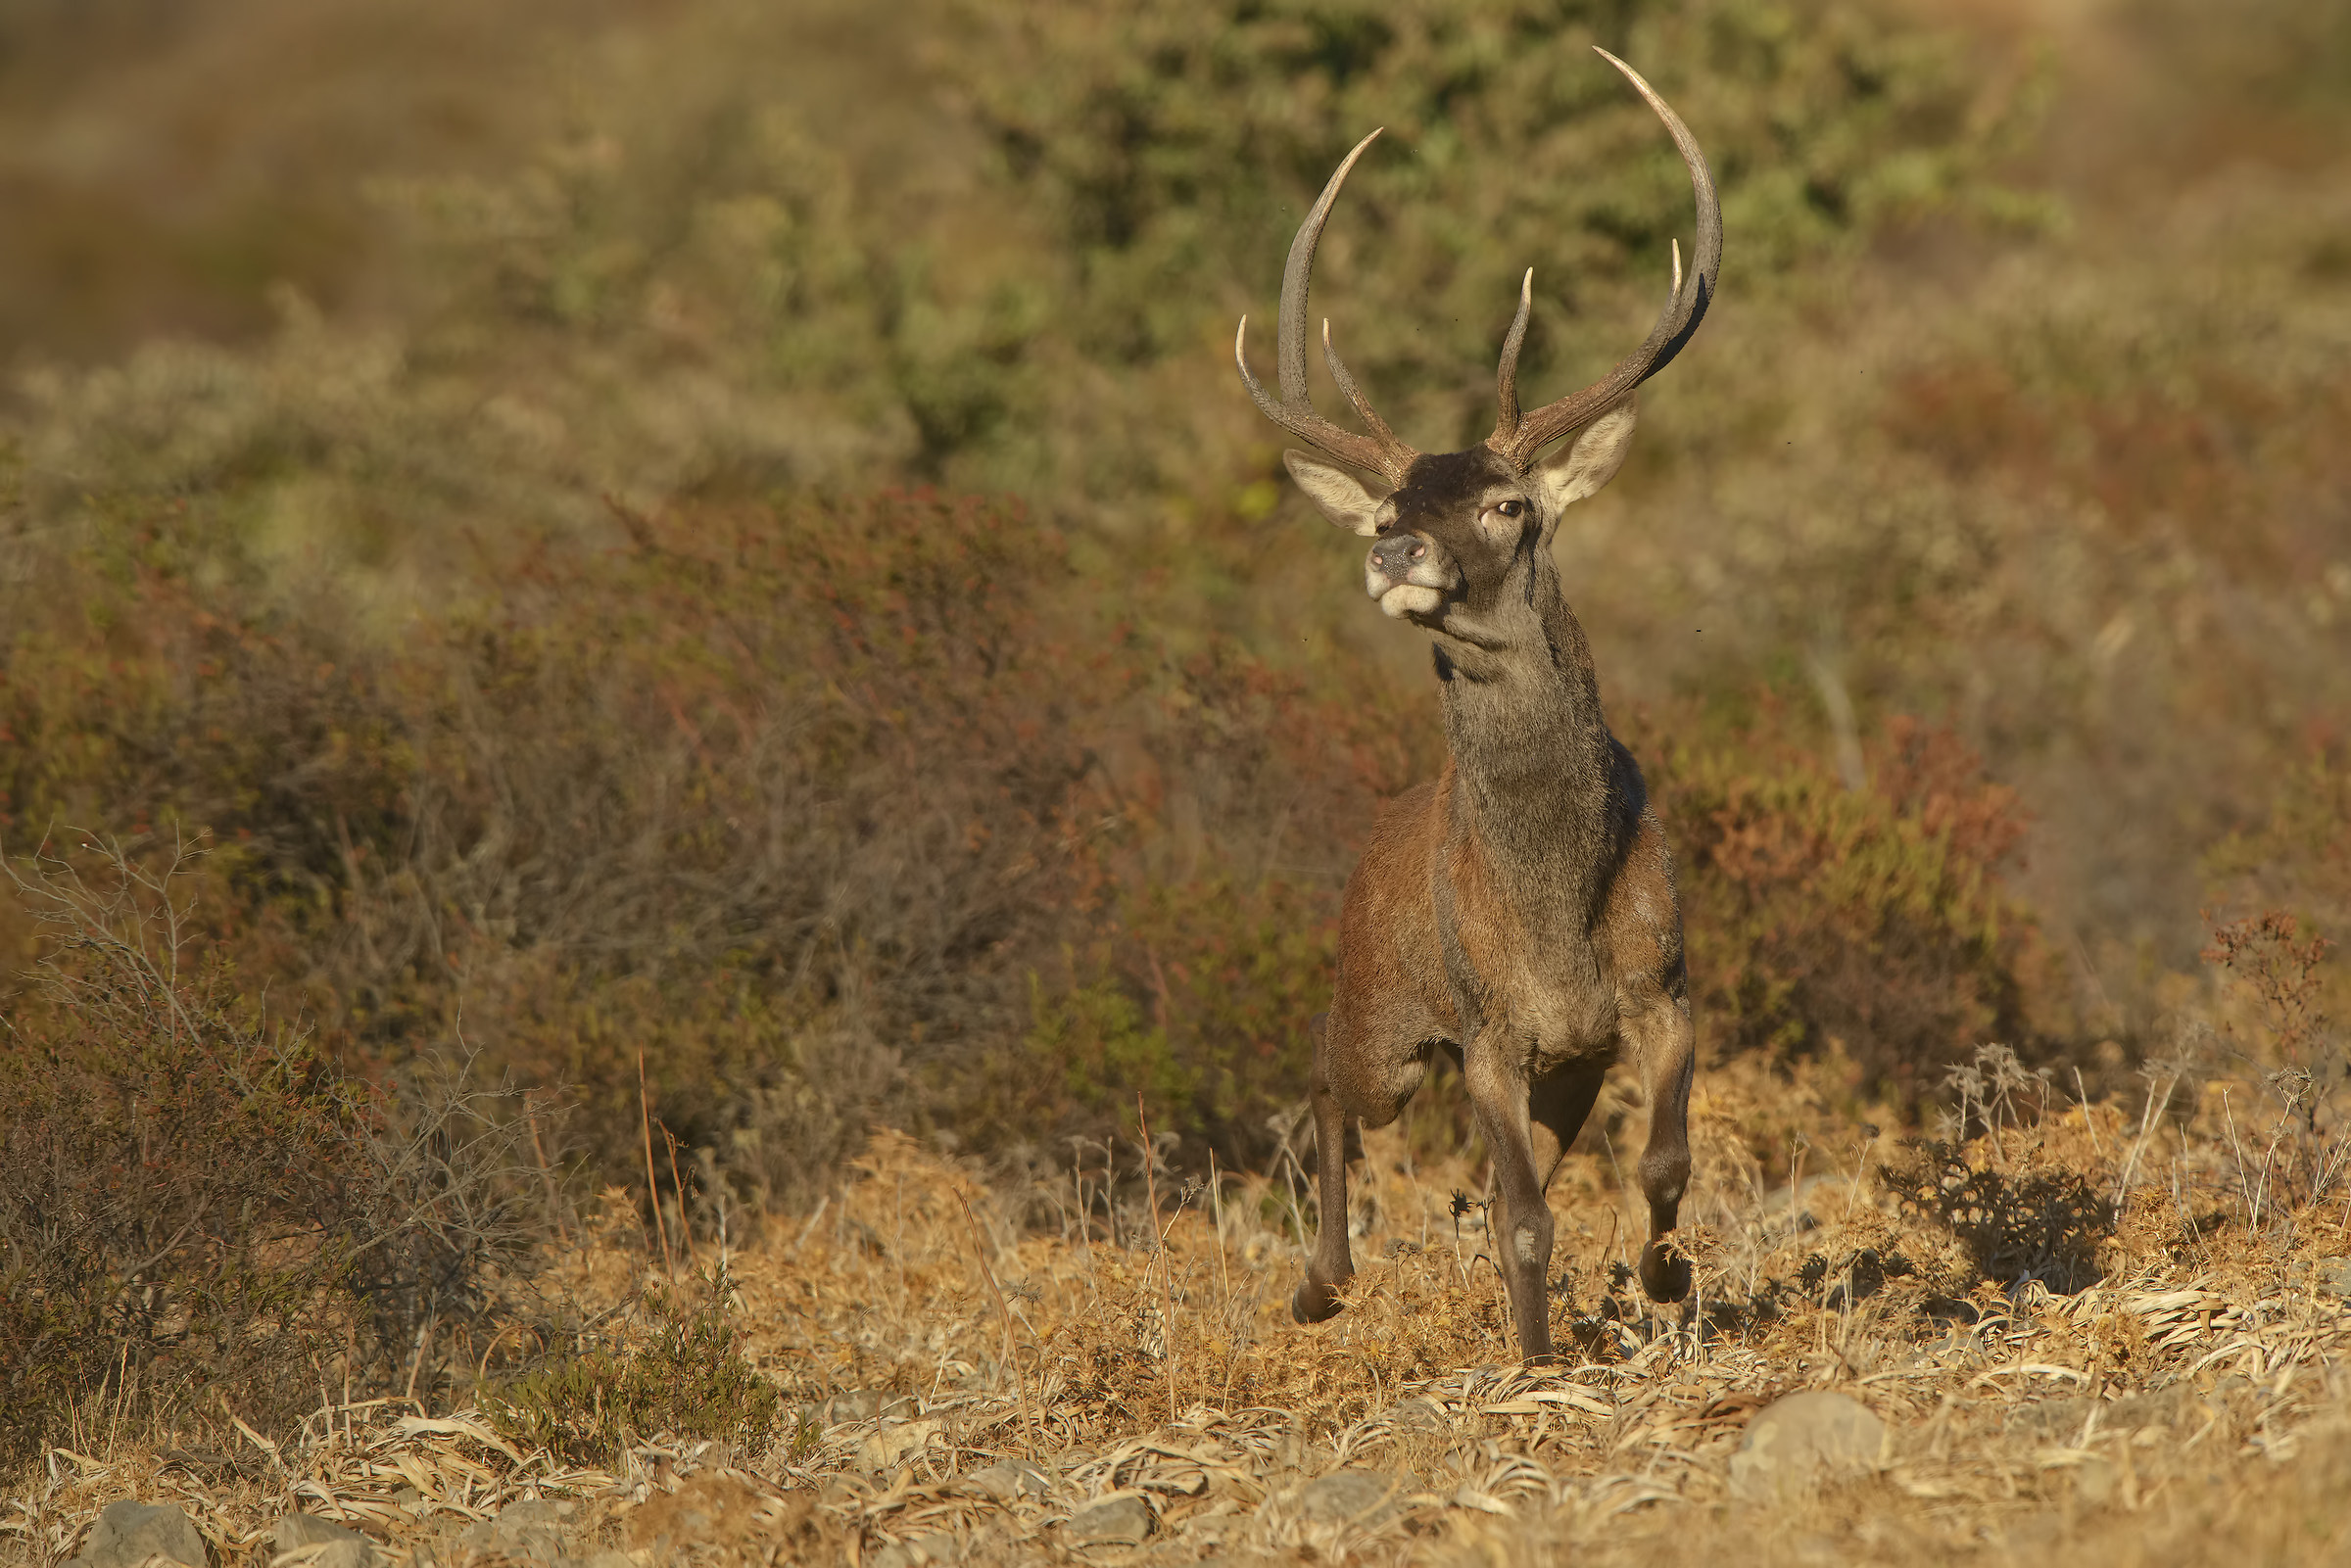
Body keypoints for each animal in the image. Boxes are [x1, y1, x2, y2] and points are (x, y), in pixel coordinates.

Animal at [1233, 48, 1720, 1364]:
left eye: (1509, 502)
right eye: (1391, 500)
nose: (1393, 549)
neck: (1557, 913)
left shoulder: (1655, 994)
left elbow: (1656, 1163)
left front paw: (1663, 1275)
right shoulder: (1492, 1030)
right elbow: (1531, 1219)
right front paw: (1539, 1363)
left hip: (1544, 1063)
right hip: (1391, 1018)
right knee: (1324, 1078)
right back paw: (1319, 1284)